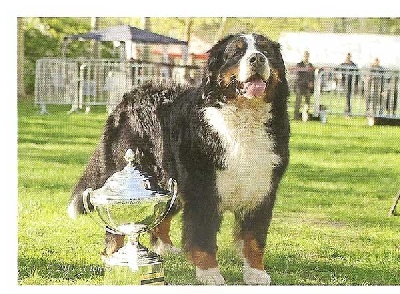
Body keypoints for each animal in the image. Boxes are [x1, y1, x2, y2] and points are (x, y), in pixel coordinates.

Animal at [67, 32, 290, 284]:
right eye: (237, 52)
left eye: (266, 51)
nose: (257, 59)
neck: (243, 119)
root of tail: (131, 94)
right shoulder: (203, 191)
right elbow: (203, 237)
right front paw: (210, 274)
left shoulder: (262, 190)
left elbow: (254, 239)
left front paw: (256, 273)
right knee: (115, 230)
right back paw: (114, 253)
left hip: (167, 183)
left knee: (161, 220)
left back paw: (164, 248)